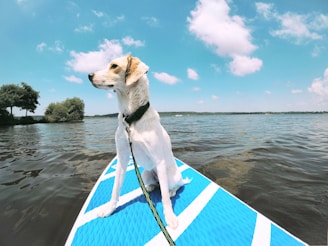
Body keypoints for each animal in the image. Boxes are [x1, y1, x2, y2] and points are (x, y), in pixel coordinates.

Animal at [88, 55, 188, 229]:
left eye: (114, 66)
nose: (89, 75)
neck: (132, 119)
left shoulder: (159, 160)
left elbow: (165, 199)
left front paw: (170, 217)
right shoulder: (122, 157)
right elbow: (115, 189)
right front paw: (109, 209)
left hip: (170, 176)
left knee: (173, 187)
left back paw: (170, 191)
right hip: (146, 173)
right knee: (156, 185)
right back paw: (149, 186)